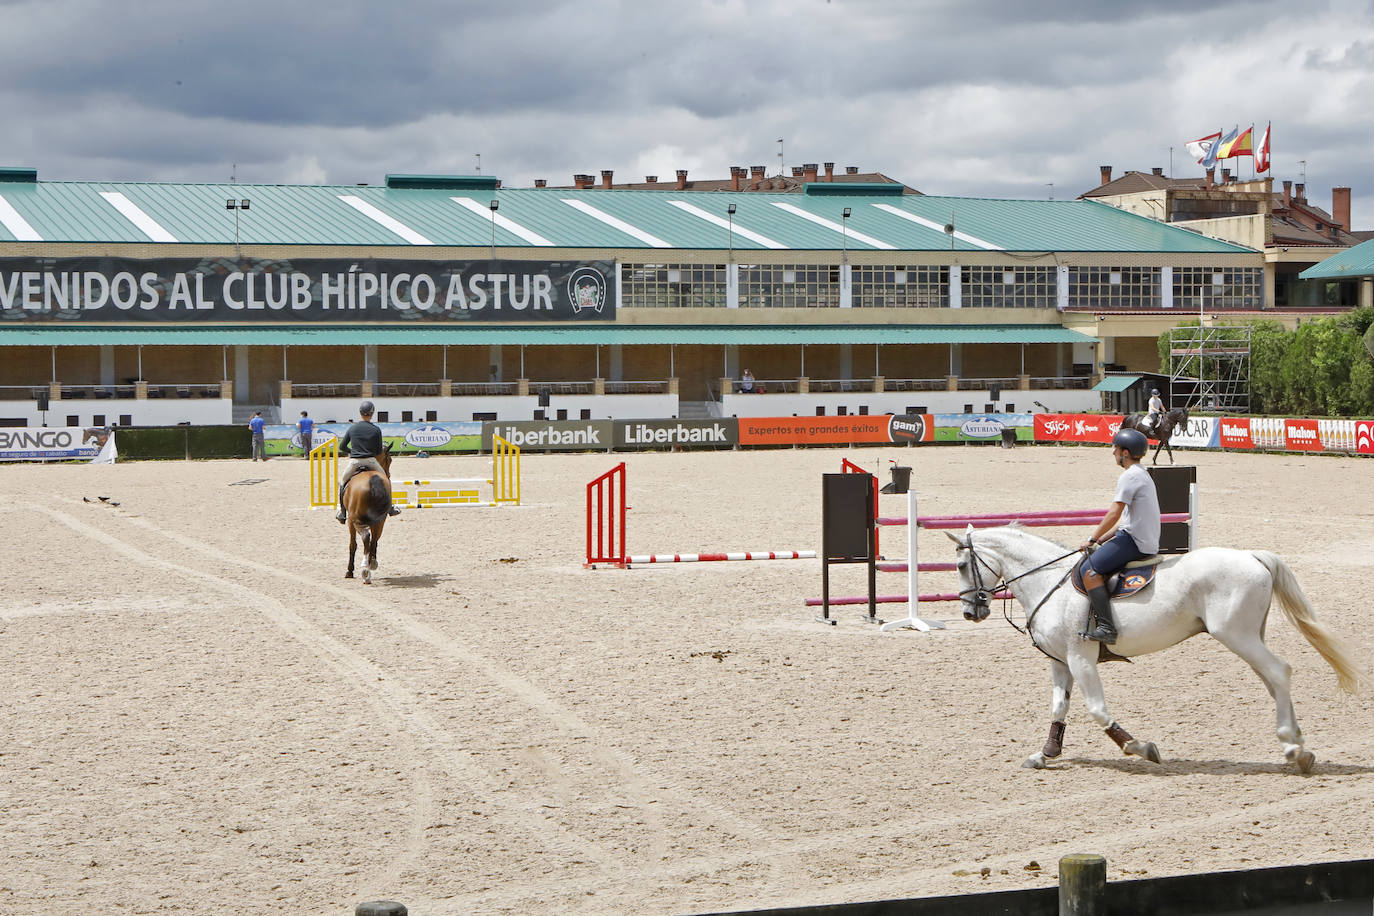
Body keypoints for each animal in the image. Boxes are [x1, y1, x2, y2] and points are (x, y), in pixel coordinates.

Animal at [346, 444, 395, 587]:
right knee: (373, 540)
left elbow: (353, 544)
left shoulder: (350, 521)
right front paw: (372, 562)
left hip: (357, 520)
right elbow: (375, 541)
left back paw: (365, 571)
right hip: (380, 520)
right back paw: (370, 565)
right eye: (389, 460)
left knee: (366, 538)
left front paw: (350, 571)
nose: (388, 475)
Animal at [950, 527, 1368, 769]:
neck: (1048, 581)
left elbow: (1097, 710)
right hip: (1248, 637)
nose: (971, 611)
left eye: (960, 565)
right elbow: (1059, 708)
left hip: (1238, 636)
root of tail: (1251, 555)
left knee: (1279, 673)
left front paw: (1139, 747)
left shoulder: (1081, 658)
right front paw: (1046, 753)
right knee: (1273, 681)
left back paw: (1293, 749)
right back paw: (1298, 744)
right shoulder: (1060, 661)